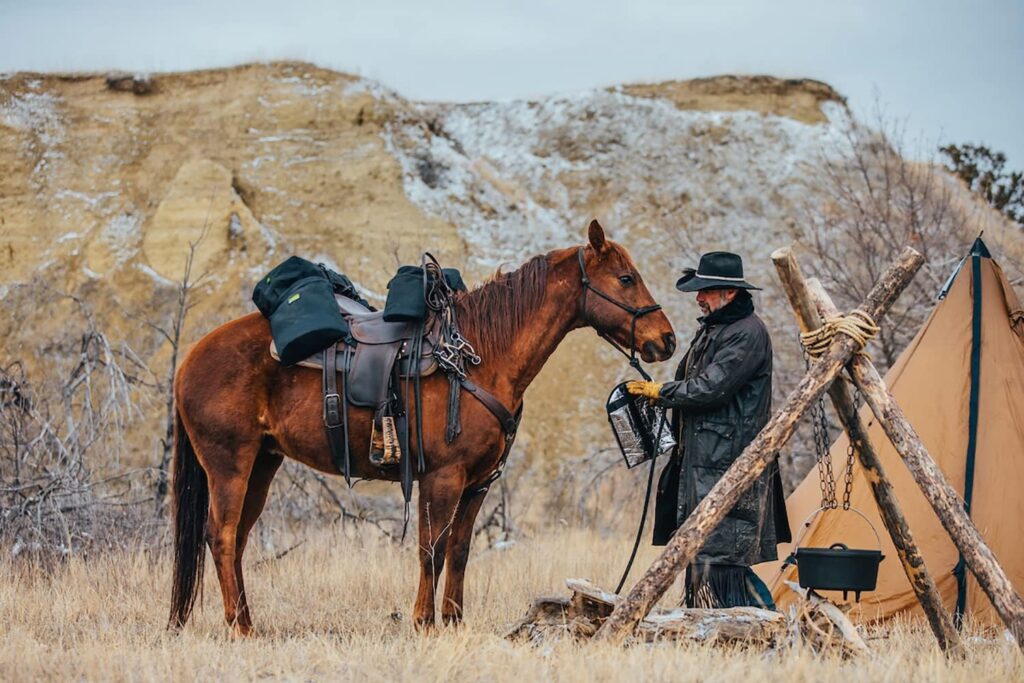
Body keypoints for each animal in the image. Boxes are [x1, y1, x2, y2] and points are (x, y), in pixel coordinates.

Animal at [168, 223, 675, 634]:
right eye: (626, 278)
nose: (666, 340)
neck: (478, 358)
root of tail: (191, 357)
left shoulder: (477, 485)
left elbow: (460, 551)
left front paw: (452, 620)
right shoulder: (442, 478)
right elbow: (431, 548)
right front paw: (423, 621)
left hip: (262, 465)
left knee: (236, 540)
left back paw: (246, 620)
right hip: (229, 465)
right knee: (221, 536)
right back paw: (239, 627)